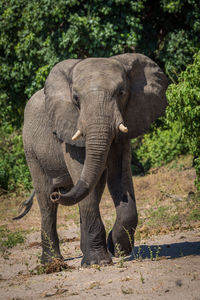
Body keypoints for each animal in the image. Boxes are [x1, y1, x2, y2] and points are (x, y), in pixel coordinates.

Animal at [13, 52, 167, 266]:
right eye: (76, 98)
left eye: (121, 92)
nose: (57, 193)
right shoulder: (68, 124)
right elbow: (81, 173)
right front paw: (98, 262)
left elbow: (119, 174)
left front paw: (117, 248)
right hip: (30, 149)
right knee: (47, 200)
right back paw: (53, 263)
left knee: (91, 190)